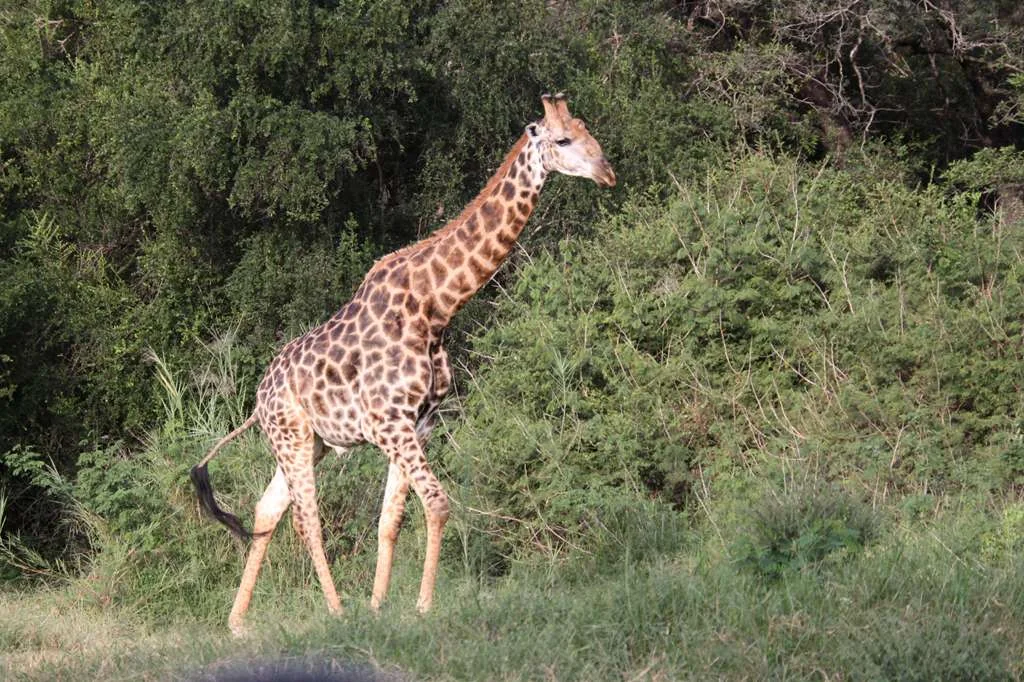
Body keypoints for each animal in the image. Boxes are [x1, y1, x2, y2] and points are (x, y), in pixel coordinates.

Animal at [190, 93, 616, 635]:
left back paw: (238, 622)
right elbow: (436, 505)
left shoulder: (419, 423)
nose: (607, 172)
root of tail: (257, 402)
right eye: (562, 139)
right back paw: (335, 611)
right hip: (292, 437)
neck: (437, 305)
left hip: (312, 444)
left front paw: (379, 606)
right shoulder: (391, 423)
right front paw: (422, 607)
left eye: (587, 129)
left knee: (268, 510)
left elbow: (390, 520)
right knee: (308, 520)